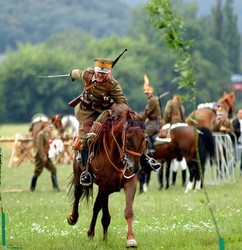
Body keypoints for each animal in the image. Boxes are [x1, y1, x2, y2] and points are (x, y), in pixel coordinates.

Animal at [66, 107, 146, 248]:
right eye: (129, 138)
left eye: (144, 138)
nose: (135, 168)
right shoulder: (104, 187)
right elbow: (105, 217)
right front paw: (105, 240)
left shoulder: (130, 183)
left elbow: (128, 212)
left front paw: (131, 239)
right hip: (79, 176)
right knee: (78, 193)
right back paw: (73, 218)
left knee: (96, 207)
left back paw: (91, 233)